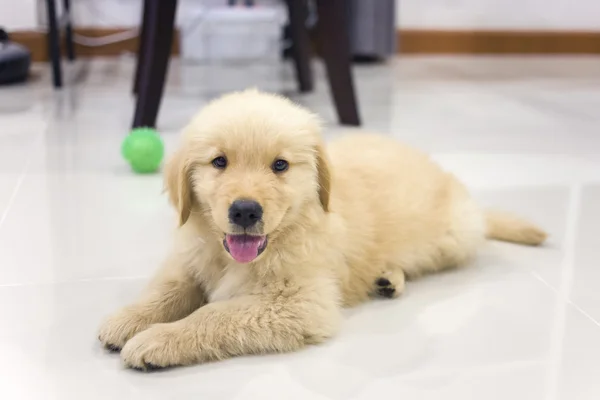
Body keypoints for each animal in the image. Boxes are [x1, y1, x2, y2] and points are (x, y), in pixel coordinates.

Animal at [97, 89, 544, 370]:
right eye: (219, 162)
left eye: (280, 165)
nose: (245, 211)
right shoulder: (190, 257)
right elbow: (168, 288)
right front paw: (130, 318)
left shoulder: (300, 304)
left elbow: (214, 314)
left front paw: (157, 340)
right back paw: (386, 278)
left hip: (452, 238)